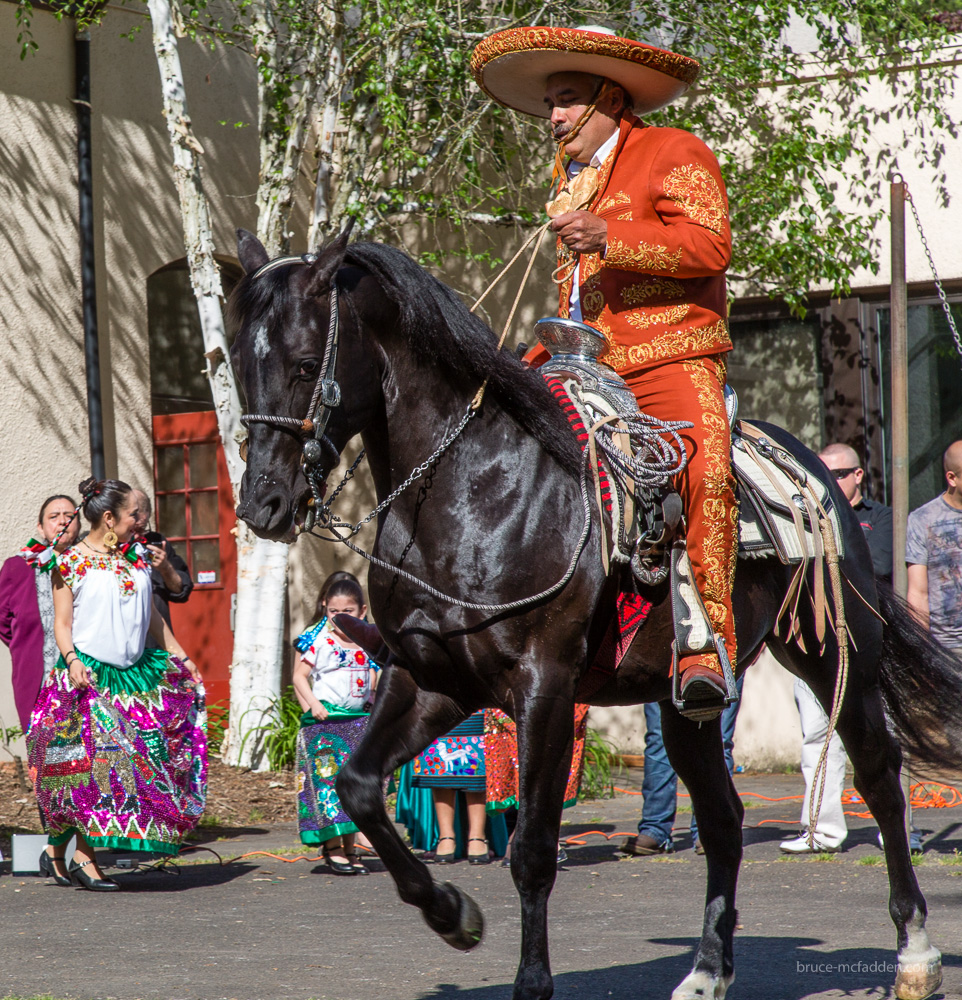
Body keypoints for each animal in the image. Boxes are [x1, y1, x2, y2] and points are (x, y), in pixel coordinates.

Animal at [227, 230, 960, 1000]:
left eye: (304, 363)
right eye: (238, 366)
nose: (263, 503)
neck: (473, 490)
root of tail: (809, 468)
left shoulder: (543, 688)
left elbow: (532, 848)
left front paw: (530, 980)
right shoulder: (431, 679)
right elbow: (359, 787)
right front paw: (452, 913)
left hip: (835, 656)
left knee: (880, 780)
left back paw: (915, 952)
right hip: (687, 702)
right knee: (724, 821)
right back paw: (707, 971)